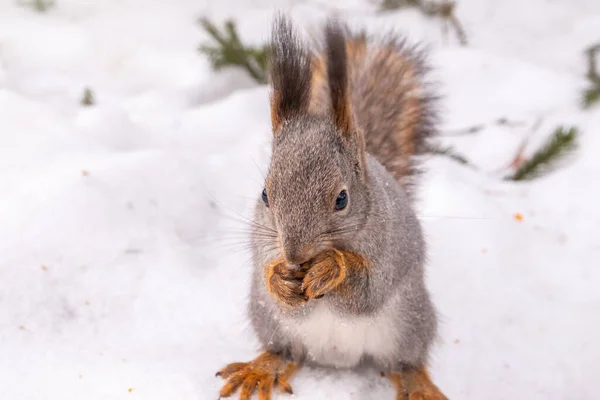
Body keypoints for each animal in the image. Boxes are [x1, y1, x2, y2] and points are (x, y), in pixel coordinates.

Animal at [216, 13, 446, 400]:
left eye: (342, 199)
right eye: (265, 195)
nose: (294, 255)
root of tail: (337, 357)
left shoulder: (389, 249)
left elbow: (367, 290)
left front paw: (331, 268)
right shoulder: (263, 242)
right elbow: (270, 279)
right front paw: (277, 278)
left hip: (410, 322)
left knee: (405, 362)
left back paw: (417, 384)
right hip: (270, 322)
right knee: (285, 350)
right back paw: (262, 367)